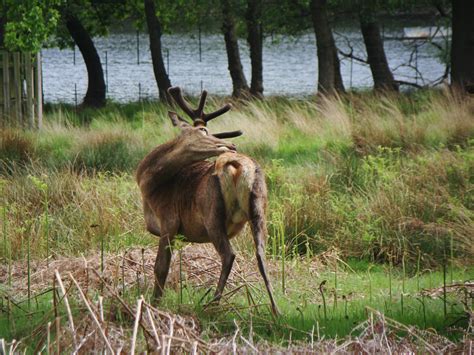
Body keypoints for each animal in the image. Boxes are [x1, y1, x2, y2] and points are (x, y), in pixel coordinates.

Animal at [135, 87, 280, 316]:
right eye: (203, 131)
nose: (231, 145)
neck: (150, 186)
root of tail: (237, 165)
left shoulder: (169, 221)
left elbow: (160, 268)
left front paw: (153, 304)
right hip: (259, 206)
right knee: (261, 252)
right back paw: (276, 310)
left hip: (212, 213)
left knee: (228, 254)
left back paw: (212, 304)